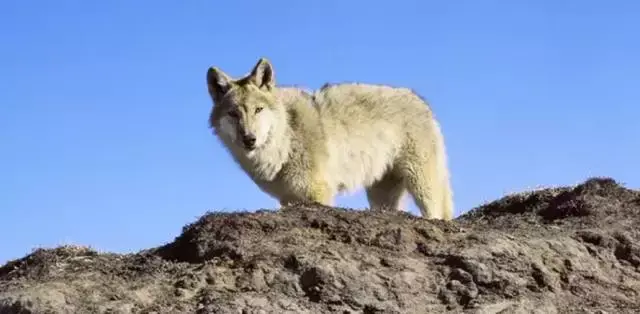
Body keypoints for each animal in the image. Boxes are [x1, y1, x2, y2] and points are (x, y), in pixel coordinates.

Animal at [206, 57, 456, 220]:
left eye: (258, 110)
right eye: (234, 114)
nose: (249, 139)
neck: (286, 140)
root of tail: (422, 103)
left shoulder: (318, 194)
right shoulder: (288, 200)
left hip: (422, 187)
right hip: (380, 197)